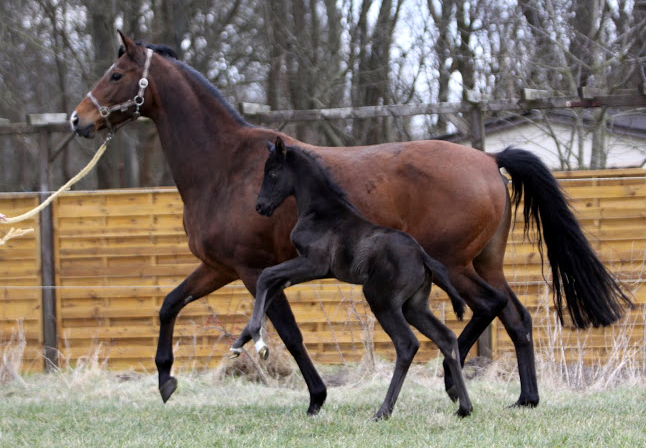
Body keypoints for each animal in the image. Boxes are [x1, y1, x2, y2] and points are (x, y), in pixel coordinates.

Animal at [230, 136, 474, 420]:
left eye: (272, 173)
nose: (261, 206)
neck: (320, 211)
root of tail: (423, 257)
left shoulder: (313, 264)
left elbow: (266, 277)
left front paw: (259, 343)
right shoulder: (311, 269)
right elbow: (272, 286)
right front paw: (240, 343)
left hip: (381, 299)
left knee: (406, 343)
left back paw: (383, 411)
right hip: (414, 306)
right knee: (446, 337)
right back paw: (464, 408)